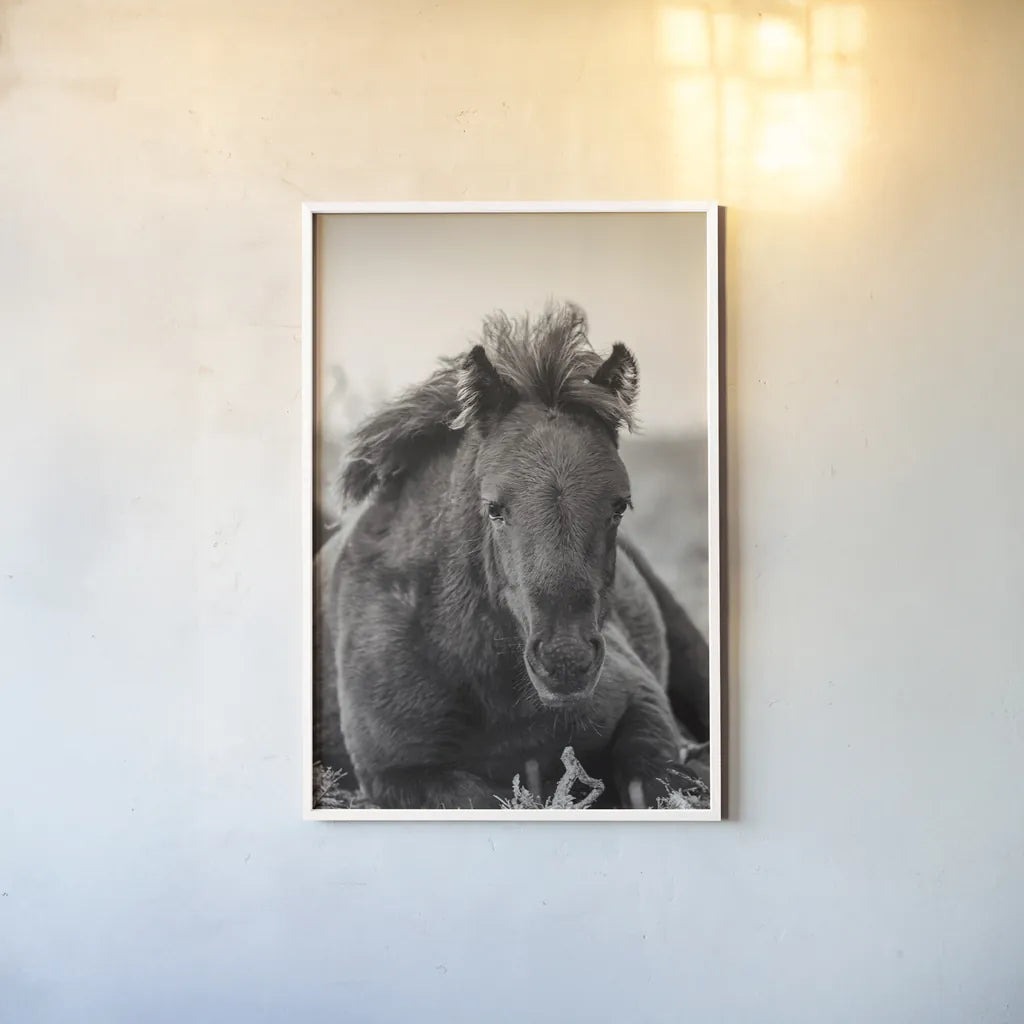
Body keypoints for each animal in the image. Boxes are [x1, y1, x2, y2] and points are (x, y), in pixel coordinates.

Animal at [313, 303, 711, 809]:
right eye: (494, 508)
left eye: (619, 505)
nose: (566, 661)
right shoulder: (398, 774)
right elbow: (485, 796)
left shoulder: (641, 703)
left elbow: (660, 782)